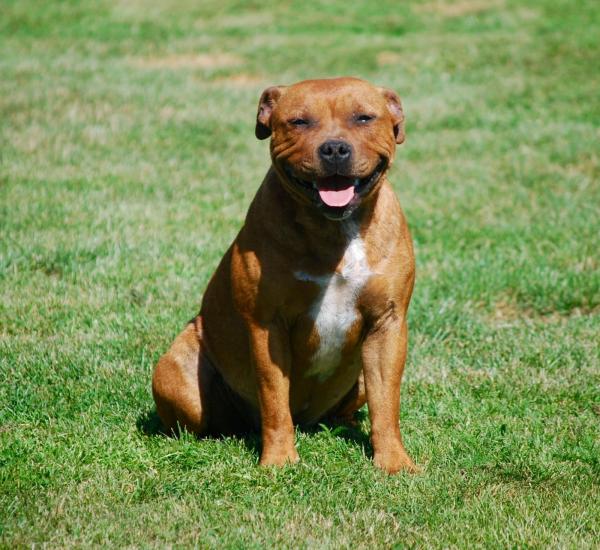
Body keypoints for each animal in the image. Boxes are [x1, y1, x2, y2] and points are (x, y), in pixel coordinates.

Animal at [152, 76, 418, 474]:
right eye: (299, 122)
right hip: (177, 372)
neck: (333, 230)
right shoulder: (267, 326)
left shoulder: (387, 322)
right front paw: (279, 460)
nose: (334, 148)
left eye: (363, 118)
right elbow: (274, 398)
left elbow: (386, 401)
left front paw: (394, 461)